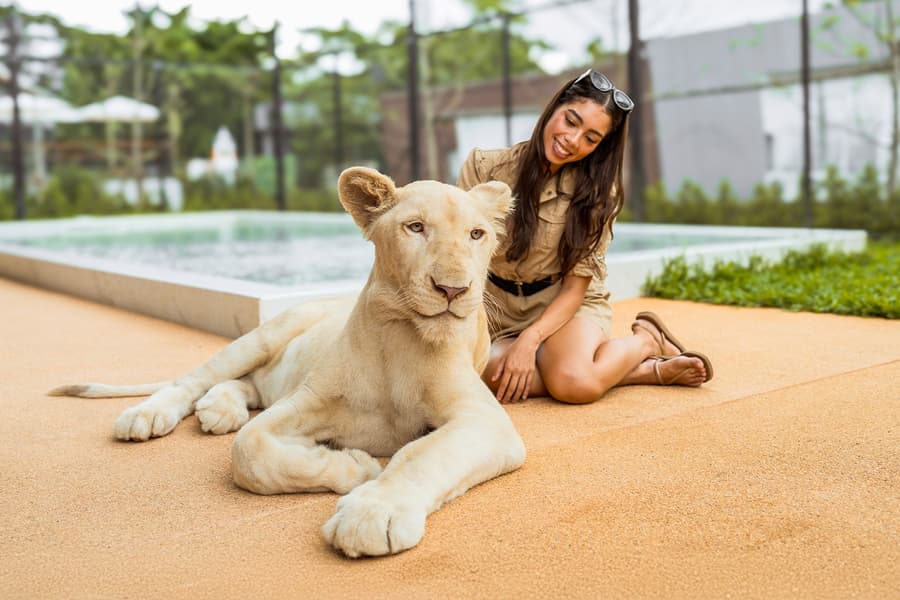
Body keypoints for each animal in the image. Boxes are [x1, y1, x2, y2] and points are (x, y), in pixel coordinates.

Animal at [49, 167, 526, 558]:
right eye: (415, 228)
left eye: (477, 235)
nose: (453, 289)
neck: (400, 338)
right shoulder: (303, 403)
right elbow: (250, 451)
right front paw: (356, 465)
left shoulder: (484, 421)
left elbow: (424, 455)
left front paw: (373, 513)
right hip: (260, 337)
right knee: (193, 381)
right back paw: (147, 416)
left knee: (242, 386)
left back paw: (219, 410)